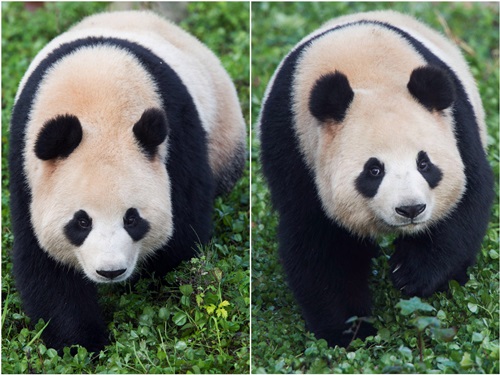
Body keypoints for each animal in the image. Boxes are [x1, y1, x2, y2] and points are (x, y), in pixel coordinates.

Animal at [9, 10, 246, 354]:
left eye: (132, 219)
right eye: (81, 222)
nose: (111, 272)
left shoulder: (177, 137)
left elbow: (183, 232)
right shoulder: (28, 167)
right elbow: (44, 264)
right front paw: (82, 345)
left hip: (223, 127)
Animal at [260, 8, 494, 350]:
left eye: (424, 163)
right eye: (374, 170)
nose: (410, 209)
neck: (365, 70)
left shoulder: (456, 124)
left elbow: (468, 196)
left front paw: (411, 273)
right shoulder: (295, 146)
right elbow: (319, 239)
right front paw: (350, 332)